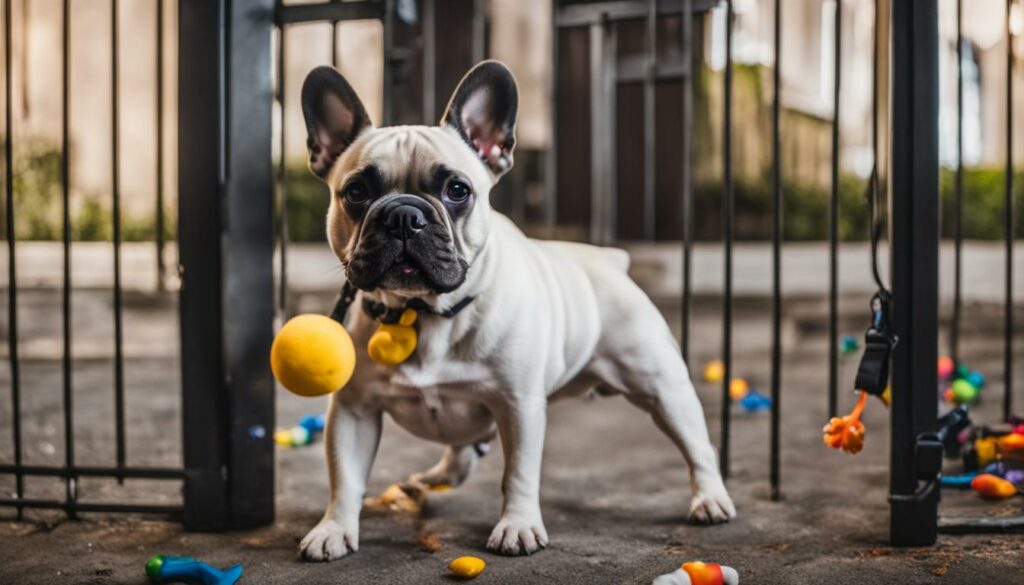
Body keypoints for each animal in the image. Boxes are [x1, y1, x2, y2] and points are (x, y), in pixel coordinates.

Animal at [296, 60, 737, 561]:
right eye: (356, 192)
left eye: (457, 190)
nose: (404, 215)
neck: (424, 313)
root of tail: (610, 261)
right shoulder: (353, 411)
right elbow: (345, 476)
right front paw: (333, 528)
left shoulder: (518, 404)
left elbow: (519, 472)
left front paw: (518, 525)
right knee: (461, 451)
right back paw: (434, 478)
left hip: (663, 387)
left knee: (697, 445)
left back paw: (711, 499)